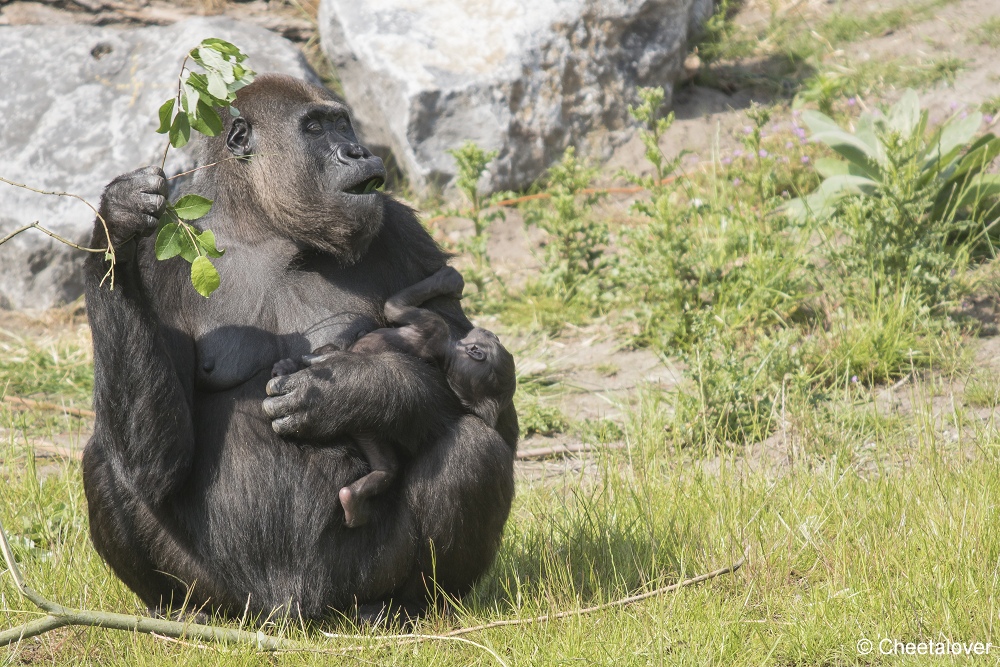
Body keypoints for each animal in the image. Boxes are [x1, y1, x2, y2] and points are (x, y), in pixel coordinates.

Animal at [272, 266, 516, 528]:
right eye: (496, 339)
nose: (489, 332)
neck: (448, 356)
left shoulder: (433, 324)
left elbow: (394, 306)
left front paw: (445, 280)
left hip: (364, 426)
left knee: (386, 463)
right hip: (369, 428)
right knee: (387, 468)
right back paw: (355, 501)